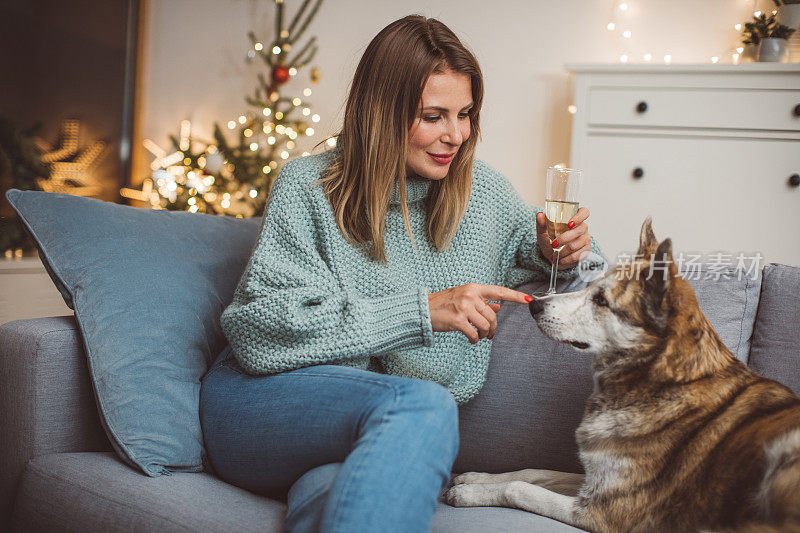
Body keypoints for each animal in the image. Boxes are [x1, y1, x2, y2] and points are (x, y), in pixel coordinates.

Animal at [444, 217, 800, 532]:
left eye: (602, 300)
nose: (534, 306)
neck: (657, 380)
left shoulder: (603, 510)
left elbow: (520, 488)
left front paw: (469, 492)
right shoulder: (596, 479)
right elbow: (532, 471)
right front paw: (476, 477)